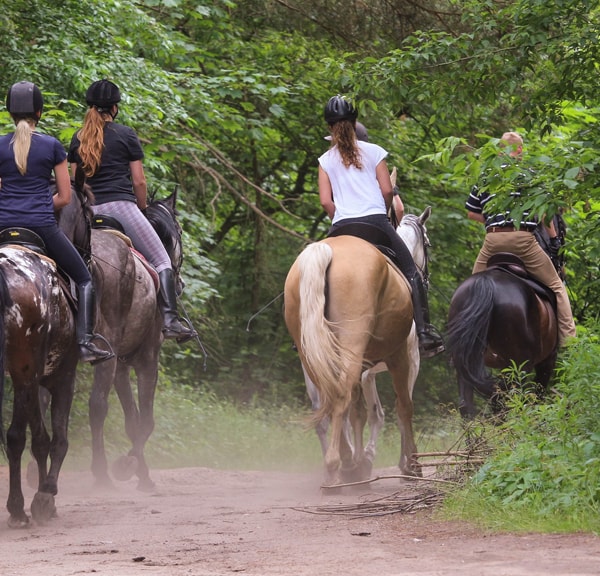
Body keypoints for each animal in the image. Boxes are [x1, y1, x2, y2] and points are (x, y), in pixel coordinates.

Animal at [0, 242, 78, 528]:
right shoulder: (62, 375)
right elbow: (55, 439)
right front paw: (45, 495)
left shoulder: (32, 377)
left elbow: (38, 439)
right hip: (26, 369)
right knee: (19, 436)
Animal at [59, 184, 185, 490]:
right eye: (179, 231)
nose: (180, 282)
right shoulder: (146, 359)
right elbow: (145, 421)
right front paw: (128, 467)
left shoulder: (122, 365)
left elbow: (132, 420)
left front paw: (141, 471)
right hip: (108, 352)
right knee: (97, 406)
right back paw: (102, 473)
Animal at [284, 209, 428, 484]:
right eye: (428, 243)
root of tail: (324, 251)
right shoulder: (408, 359)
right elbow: (401, 408)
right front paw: (409, 465)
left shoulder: (366, 370)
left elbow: (361, 413)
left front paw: (361, 460)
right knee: (344, 399)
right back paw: (338, 467)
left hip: (313, 357)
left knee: (328, 405)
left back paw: (343, 464)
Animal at [446, 255, 556, 418]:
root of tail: (485, 283)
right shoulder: (547, 361)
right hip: (520, 365)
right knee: (512, 401)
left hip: (465, 360)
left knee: (467, 405)